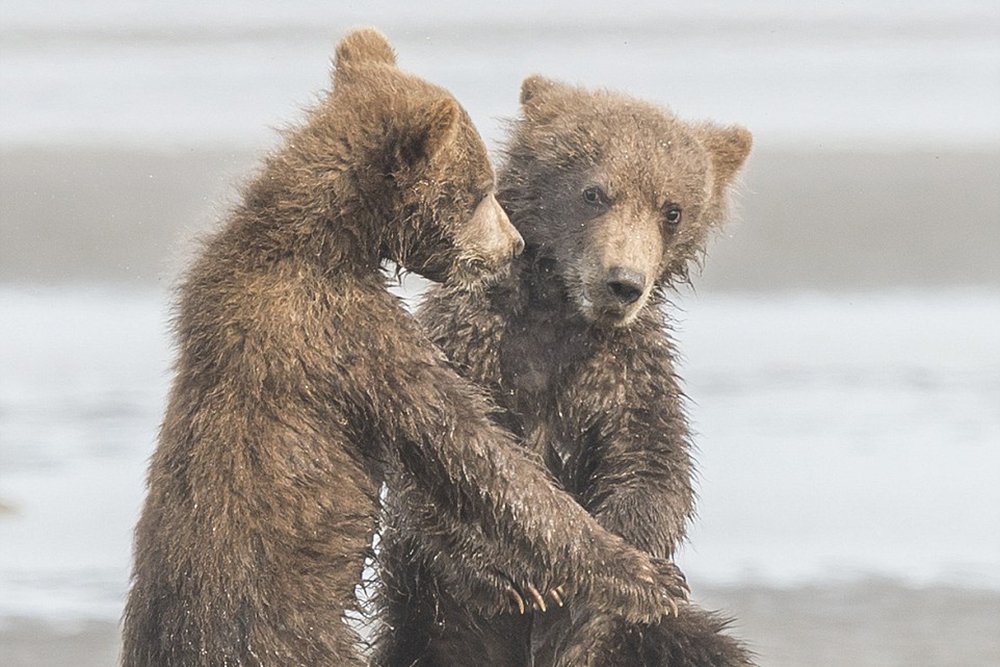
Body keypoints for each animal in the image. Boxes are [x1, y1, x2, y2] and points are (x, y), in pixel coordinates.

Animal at [121, 31, 690, 667]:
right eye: (479, 191)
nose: (515, 244)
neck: (326, 244)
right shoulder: (353, 334)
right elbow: (470, 453)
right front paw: (639, 574)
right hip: (287, 632)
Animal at [375, 76, 755, 667]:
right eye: (594, 193)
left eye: (671, 210)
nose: (623, 283)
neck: (558, 317)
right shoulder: (473, 348)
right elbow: (438, 462)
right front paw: (508, 573)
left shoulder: (624, 374)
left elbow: (651, 467)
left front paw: (627, 574)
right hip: (426, 618)